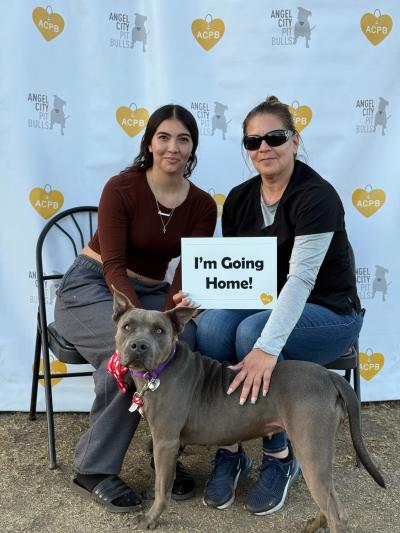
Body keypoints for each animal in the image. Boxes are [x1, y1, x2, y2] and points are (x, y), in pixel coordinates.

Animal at [111, 286, 384, 532]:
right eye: (127, 327)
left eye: (159, 330)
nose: (139, 346)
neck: (159, 371)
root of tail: (329, 375)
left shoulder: (165, 442)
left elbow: (161, 488)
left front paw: (150, 519)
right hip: (315, 451)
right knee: (331, 501)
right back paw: (314, 525)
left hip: (311, 447)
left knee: (335, 512)